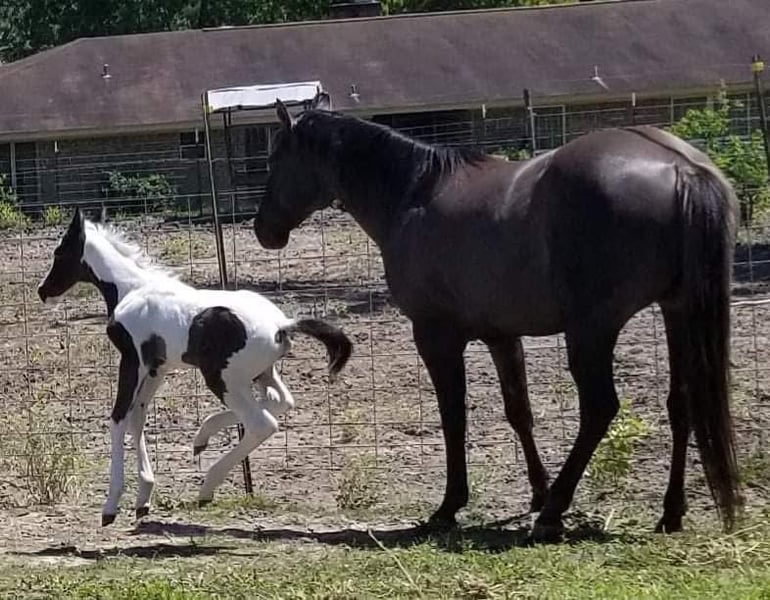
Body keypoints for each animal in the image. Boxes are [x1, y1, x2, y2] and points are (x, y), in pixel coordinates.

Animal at [38, 208, 352, 525]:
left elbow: (118, 419)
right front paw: (143, 497)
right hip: (261, 374)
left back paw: (206, 487)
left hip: (222, 379)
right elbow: (137, 418)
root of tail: (281, 324)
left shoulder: (132, 361)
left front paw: (111, 505)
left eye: (59, 253)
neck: (132, 289)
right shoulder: (157, 369)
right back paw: (202, 438)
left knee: (262, 422)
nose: (43, 291)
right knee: (281, 401)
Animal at [253, 94, 741, 541]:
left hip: (592, 330)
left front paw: (451, 505)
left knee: (600, 408)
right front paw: (537, 492)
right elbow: (518, 411)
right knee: (682, 402)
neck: (414, 193)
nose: (264, 229)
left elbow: (453, 416)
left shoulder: (435, 334)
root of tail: (681, 168)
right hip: (677, 312)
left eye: (276, 158)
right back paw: (668, 513)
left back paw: (554, 515)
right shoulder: (502, 336)